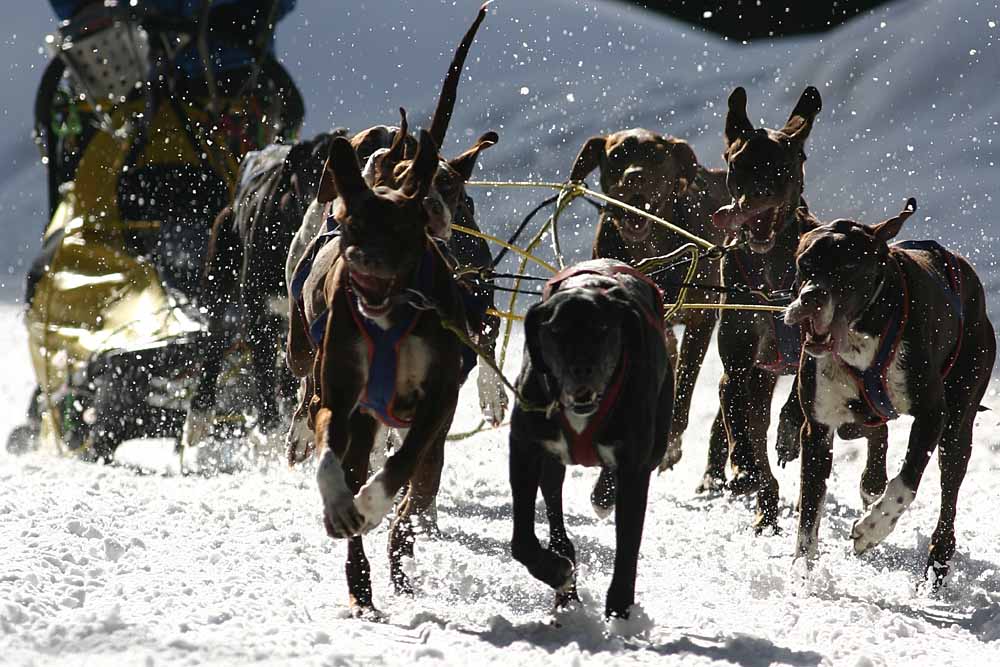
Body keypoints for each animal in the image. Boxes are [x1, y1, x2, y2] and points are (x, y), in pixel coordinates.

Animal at [508, 258, 672, 620]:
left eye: (602, 328)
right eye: (556, 331)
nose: (581, 369)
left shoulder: (635, 467)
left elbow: (628, 546)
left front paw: (620, 611)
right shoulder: (524, 447)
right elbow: (522, 541)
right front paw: (555, 570)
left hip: (656, 444)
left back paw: (603, 495)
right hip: (551, 463)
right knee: (554, 508)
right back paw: (564, 577)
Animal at [572, 129, 728, 486]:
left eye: (656, 157)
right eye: (616, 156)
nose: (635, 176)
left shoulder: (701, 319)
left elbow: (683, 388)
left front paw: (670, 442)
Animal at [712, 85, 892, 532]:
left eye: (780, 168)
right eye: (739, 164)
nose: (756, 196)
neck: (770, 276)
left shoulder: (810, 356)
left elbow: (796, 403)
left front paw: (788, 430)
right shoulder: (737, 364)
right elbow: (735, 412)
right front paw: (742, 466)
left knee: (872, 432)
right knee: (758, 438)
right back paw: (765, 506)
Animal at [784, 198, 996, 584]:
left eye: (849, 265)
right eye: (804, 263)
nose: (811, 298)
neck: (861, 335)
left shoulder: (932, 415)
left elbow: (907, 482)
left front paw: (874, 528)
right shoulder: (817, 430)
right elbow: (808, 513)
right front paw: (801, 573)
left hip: (958, 424)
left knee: (949, 487)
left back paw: (938, 559)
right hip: (855, 420)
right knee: (875, 431)